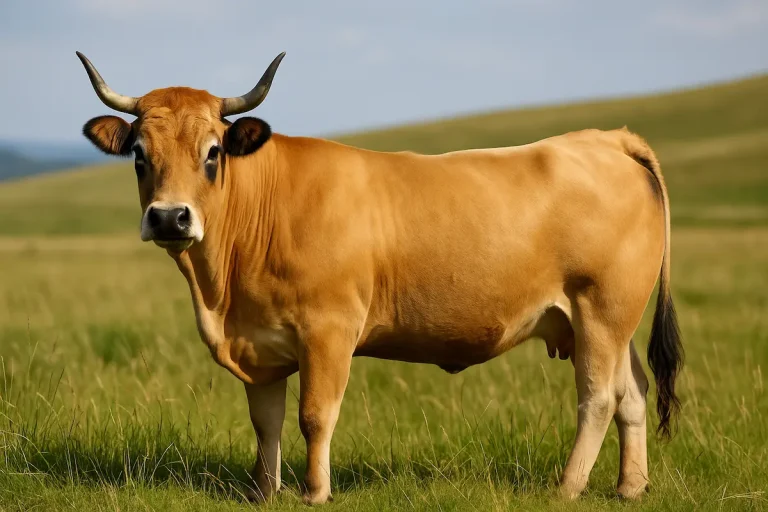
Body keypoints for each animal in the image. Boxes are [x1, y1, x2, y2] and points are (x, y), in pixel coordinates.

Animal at [76, 50, 683, 505]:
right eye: (138, 155)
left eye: (213, 153)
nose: (169, 218)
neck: (223, 293)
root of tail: (605, 138)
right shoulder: (259, 345)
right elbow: (266, 422)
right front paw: (264, 492)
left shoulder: (329, 330)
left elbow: (315, 415)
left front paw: (314, 492)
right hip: (608, 322)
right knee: (633, 392)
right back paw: (630, 487)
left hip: (601, 310)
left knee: (598, 397)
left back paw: (567, 487)